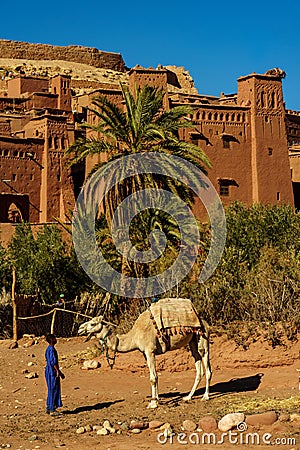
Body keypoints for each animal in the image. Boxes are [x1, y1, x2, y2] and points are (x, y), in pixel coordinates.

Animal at [78, 302, 212, 408]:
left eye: (92, 324)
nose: (79, 329)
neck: (135, 336)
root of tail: (205, 322)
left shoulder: (149, 350)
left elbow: (153, 377)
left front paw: (153, 404)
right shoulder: (144, 353)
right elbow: (154, 376)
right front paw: (156, 400)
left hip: (203, 337)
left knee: (207, 365)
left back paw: (205, 397)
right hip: (192, 342)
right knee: (198, 367)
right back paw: (188, 397)